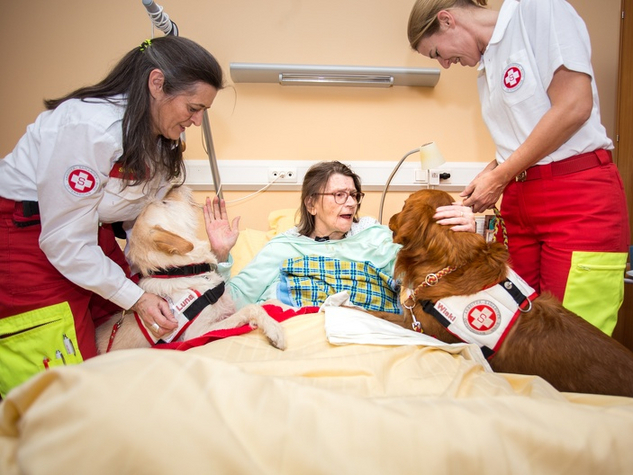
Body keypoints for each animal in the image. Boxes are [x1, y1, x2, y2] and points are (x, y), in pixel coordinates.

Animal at [95, 186, 286, 354]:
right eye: (165, 203)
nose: (176, 185)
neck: (185, 270)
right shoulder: (197, 333)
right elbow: (251, 308)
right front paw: (274, 330)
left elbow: (263, 304)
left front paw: (279, 305)